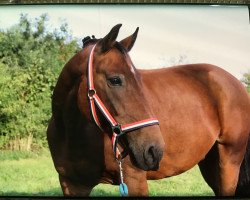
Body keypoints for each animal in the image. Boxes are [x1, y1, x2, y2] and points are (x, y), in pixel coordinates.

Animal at [46, 23, 250, 197]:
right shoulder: (72, 184)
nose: (154, 150)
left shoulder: (134, 181)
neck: (73, 134)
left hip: (229, 163)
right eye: (115, 80)